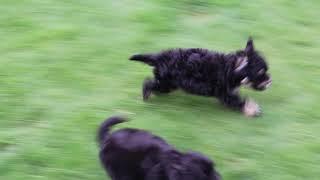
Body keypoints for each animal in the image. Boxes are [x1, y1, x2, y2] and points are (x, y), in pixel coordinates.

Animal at [129, 38, 272, 116]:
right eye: (260, 72)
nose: (270, 81)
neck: (232, 68)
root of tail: (160, 57)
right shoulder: (224, 92)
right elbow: (239, 101)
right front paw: (253, 110)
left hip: (167, 82)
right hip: (167, 82)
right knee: (148, 83)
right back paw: (146, 95)